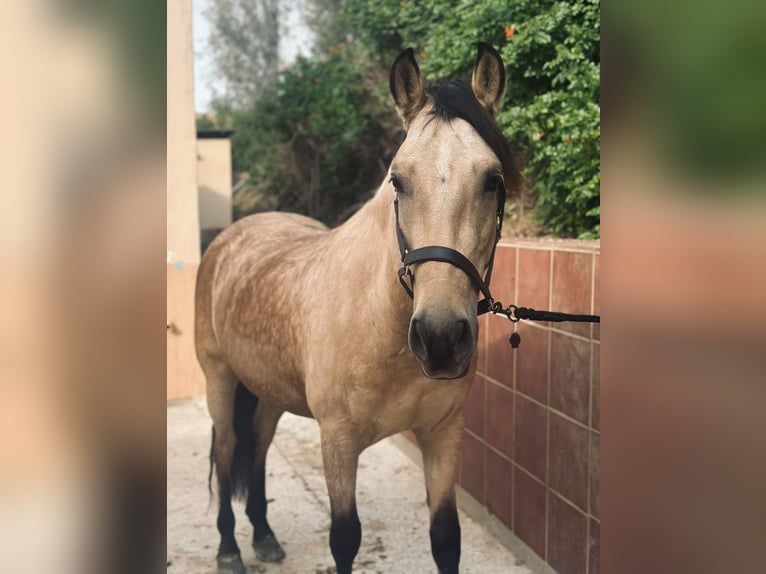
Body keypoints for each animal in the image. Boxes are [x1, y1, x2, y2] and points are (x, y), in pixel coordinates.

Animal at [195, 43, 521, 574]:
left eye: (492, 180)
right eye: (398, 181)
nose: (440, 338)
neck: (378, 323)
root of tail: (229, 237)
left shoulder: (442, 434)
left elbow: (446, 538)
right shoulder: (339, 443)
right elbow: (345, 539)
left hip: (268, 392)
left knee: (258, 448)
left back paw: (264, 535)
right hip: (220, 382)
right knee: (226, 453)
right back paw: (228, 548)